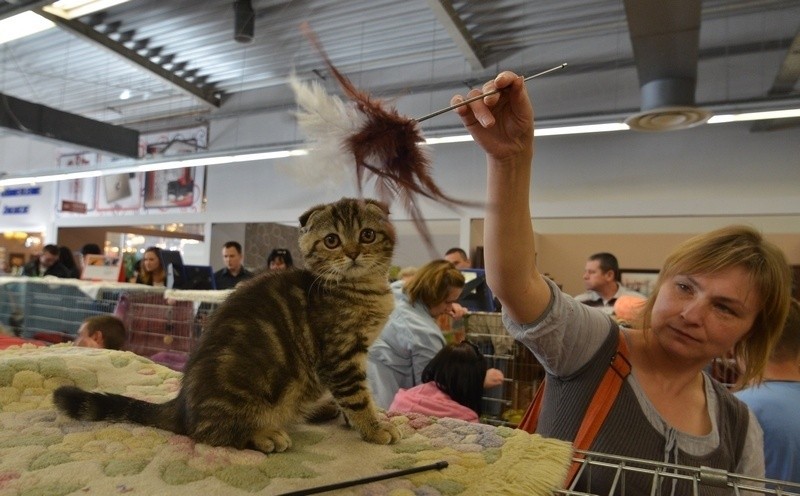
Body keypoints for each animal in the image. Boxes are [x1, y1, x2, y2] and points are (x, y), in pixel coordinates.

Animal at [53, 198, 400, 454]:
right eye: (332, 241)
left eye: (367, 235)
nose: (353, 253)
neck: (363, 289)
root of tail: (181, 406)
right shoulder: (340, 356)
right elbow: (357, 396)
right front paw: (374, 428)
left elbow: (359, 395)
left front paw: (359, 421)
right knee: (208, 434)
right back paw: (264, 436)